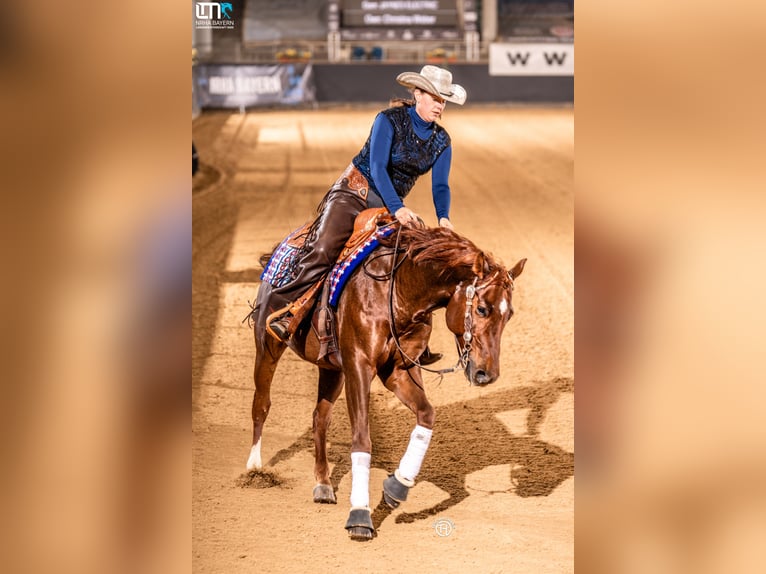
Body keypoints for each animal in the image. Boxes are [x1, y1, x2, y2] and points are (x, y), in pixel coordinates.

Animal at [246, 223, 526, 540]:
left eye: (509, 314)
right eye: (481, 309)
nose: (487, 374)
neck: (398, 292)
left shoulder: (399, 370)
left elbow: (426, 415)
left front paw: (397, 486)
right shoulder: (359, 367)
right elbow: (361, 438)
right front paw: (360, 514)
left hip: (331, 368)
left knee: (320, 418)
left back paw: (323, 484)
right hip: (267, 344)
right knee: (262, 404)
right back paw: (254, 468)